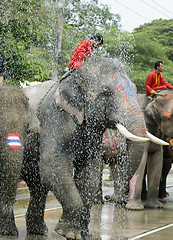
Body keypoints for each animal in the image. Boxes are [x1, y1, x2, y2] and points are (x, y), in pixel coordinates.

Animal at [18, 55, 166, 238]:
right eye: (106, 92)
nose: (111, 199)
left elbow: (90, 172)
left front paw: (81, 234)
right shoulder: (53, 116)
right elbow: (53, 165)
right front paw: (68, 233)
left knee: (37, 185)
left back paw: (38, 231)